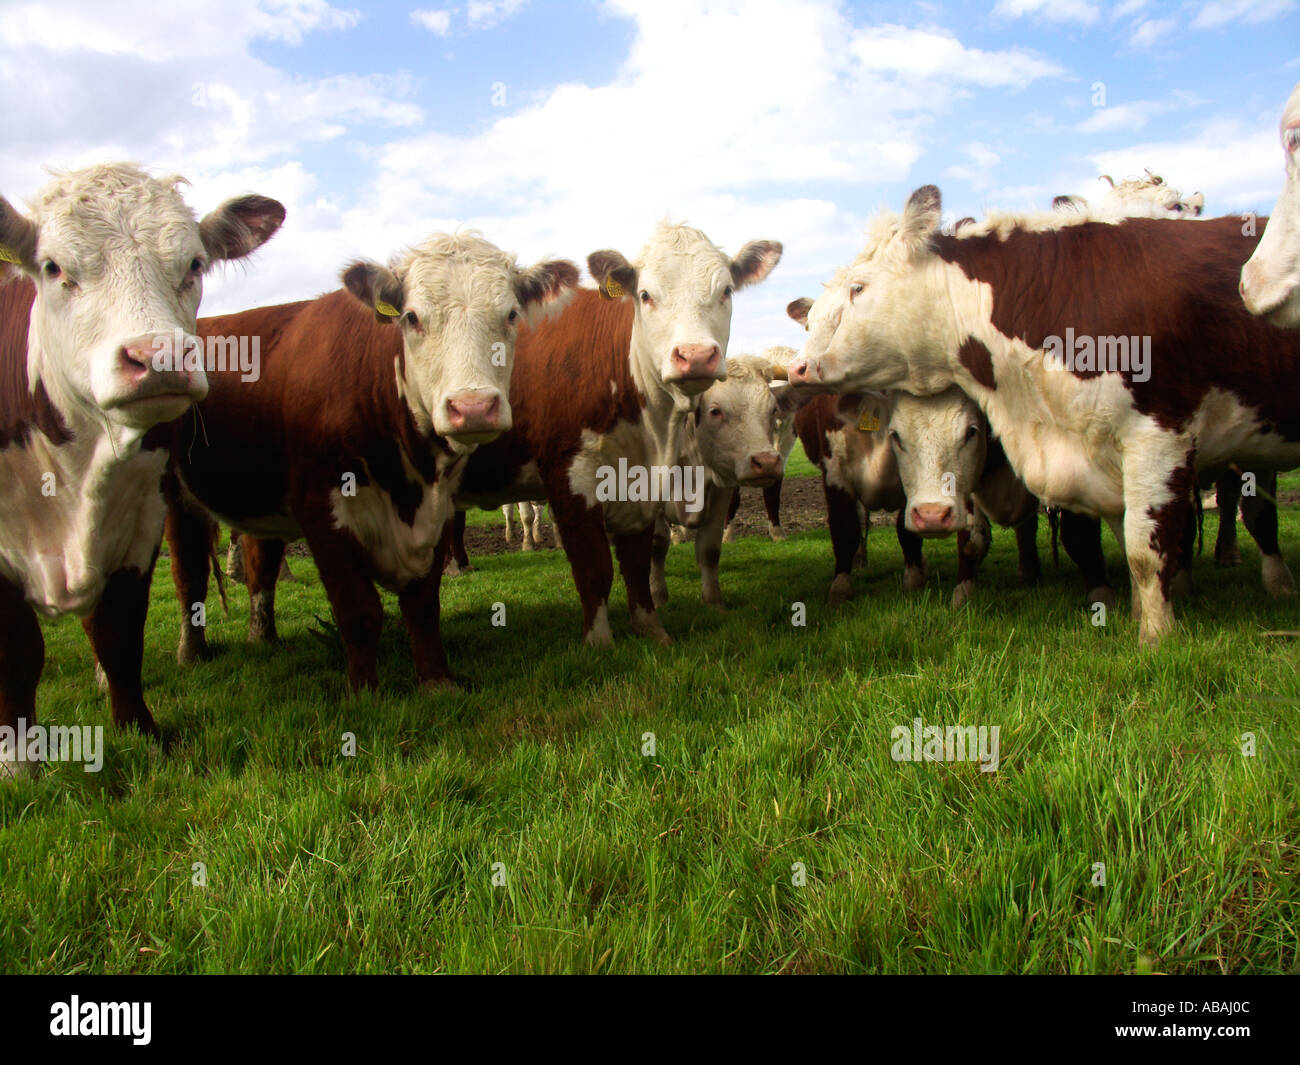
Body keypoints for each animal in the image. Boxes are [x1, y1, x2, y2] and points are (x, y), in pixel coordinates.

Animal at [0, 163, 284, 776]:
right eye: (53, 267)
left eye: (195, 264)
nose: (159, 358)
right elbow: (18, 651)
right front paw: (18, 764)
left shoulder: (139, 519)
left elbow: (118, 631)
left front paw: (141, 733)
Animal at [164, 232, 579, 691]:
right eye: (412, 317)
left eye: (511, 314)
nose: (472, 408)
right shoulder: (320, 508)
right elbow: (358, 609)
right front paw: (364, 689)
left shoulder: (436, 508)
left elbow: (422, 605)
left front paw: (436, 681)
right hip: (174, 495)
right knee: (188, 572)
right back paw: (192, 652)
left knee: (262, 561)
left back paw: (263, 634)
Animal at [454, 222, 782, 645]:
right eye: (645, 295)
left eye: (726, 290)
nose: (694, 355)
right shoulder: (571, 478)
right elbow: (597, 564)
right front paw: (601, 641)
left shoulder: (677, 482)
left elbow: (662, 556)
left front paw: (667, 622)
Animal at [648, 350, 799, 608]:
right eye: (715, 411)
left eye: (772, 410)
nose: (767, 462)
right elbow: (657, 547)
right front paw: (658, 597)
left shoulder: (720, 494)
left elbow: (710, 549)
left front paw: (714, 602)